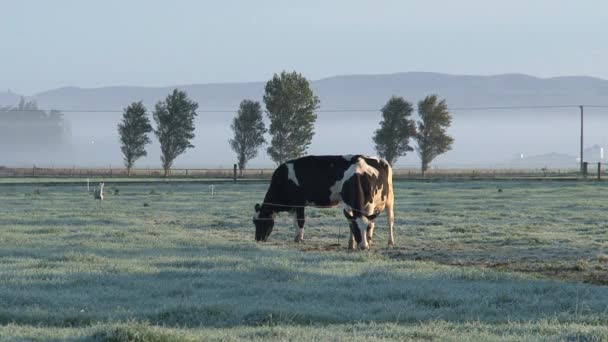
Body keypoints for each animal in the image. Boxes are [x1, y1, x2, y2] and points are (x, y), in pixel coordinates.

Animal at [252, 154, 394, 248]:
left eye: (261, 222)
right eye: (254, 222)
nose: (258, 239)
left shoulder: (299, 202)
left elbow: (301, 221)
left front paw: (299, 239)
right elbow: (295, 221)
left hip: (389, 200)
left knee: (389, 220)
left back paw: (389, 242)